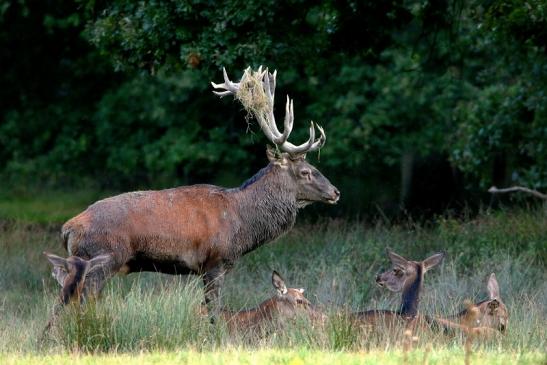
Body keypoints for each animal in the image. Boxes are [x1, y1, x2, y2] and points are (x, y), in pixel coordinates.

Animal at [41, 66, 338, 330]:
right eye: (306, 172)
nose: (336, 192)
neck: (242, 224)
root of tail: (68, 228)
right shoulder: (215, 262)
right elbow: (214, 311)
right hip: (102, 259)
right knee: (73, 303)